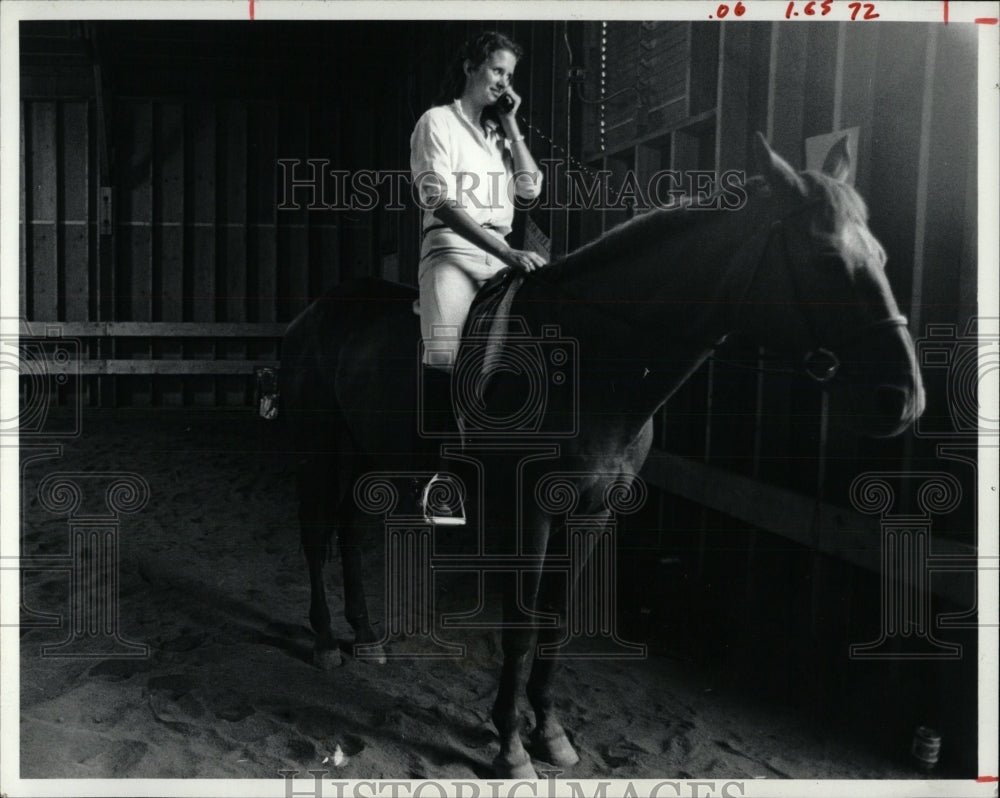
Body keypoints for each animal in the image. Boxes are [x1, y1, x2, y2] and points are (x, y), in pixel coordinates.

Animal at [278, 134, 924, 780]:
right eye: (825, 257)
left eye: (882, 256)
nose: (903, 397)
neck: (593, 361)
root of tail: (316, 311)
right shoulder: (531, 513)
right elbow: (520, 628)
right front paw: (510, 748)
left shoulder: (591, 512)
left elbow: (559, 625)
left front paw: (551, 735)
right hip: (319, 447)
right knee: (315, 534)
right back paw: (325, 643)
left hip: (369, 453)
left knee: (347, 530)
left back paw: (365, 637)